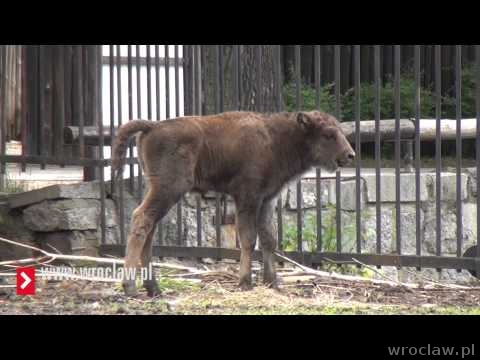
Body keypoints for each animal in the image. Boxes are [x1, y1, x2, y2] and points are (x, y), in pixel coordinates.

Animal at [111, 111, 352, 296]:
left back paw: (153, 288)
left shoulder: (267, 200)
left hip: (158, 190)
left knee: (149, 229)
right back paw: (130, 287)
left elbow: (268, 239)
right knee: (141, 219)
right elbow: (248, 239)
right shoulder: (248, 198)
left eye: (341, 131)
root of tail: (152, 126)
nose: (350, 155)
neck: (277, 140)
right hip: (168, 189)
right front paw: (245, 283)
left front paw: (272, 283)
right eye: (328, 134)